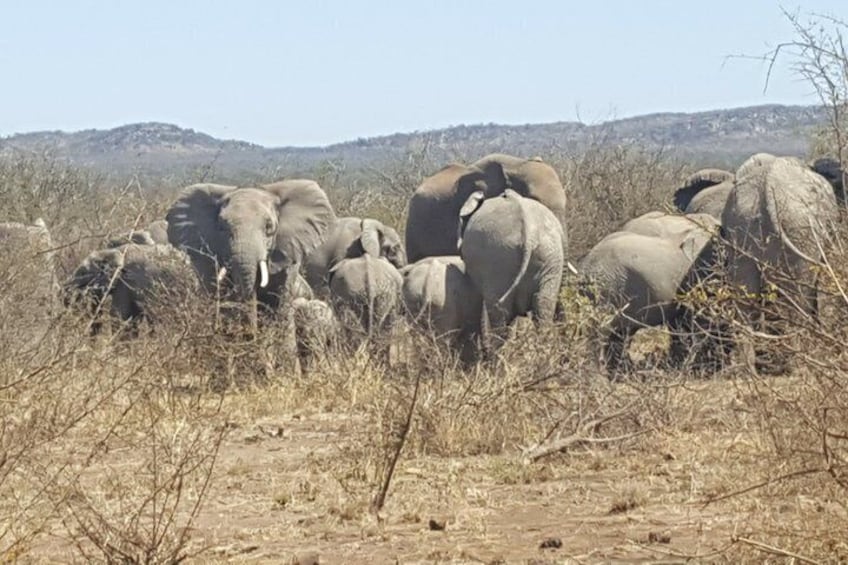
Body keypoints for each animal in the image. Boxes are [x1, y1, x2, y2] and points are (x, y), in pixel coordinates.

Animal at [458, 189, 565, 351]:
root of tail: (530, 234)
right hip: (550, 254)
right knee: (543, 304)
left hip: (498, 258)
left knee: (500, 311)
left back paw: (497, 354)